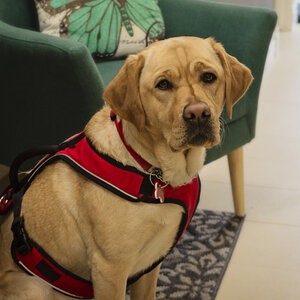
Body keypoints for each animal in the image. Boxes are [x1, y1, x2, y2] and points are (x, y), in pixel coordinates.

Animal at [0, 36, 253, 298]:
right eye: (163, 84)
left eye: (209, 77)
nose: (198, 114)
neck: (153, 173)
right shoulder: (110, 270)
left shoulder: (151, 263)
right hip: (36, 286)